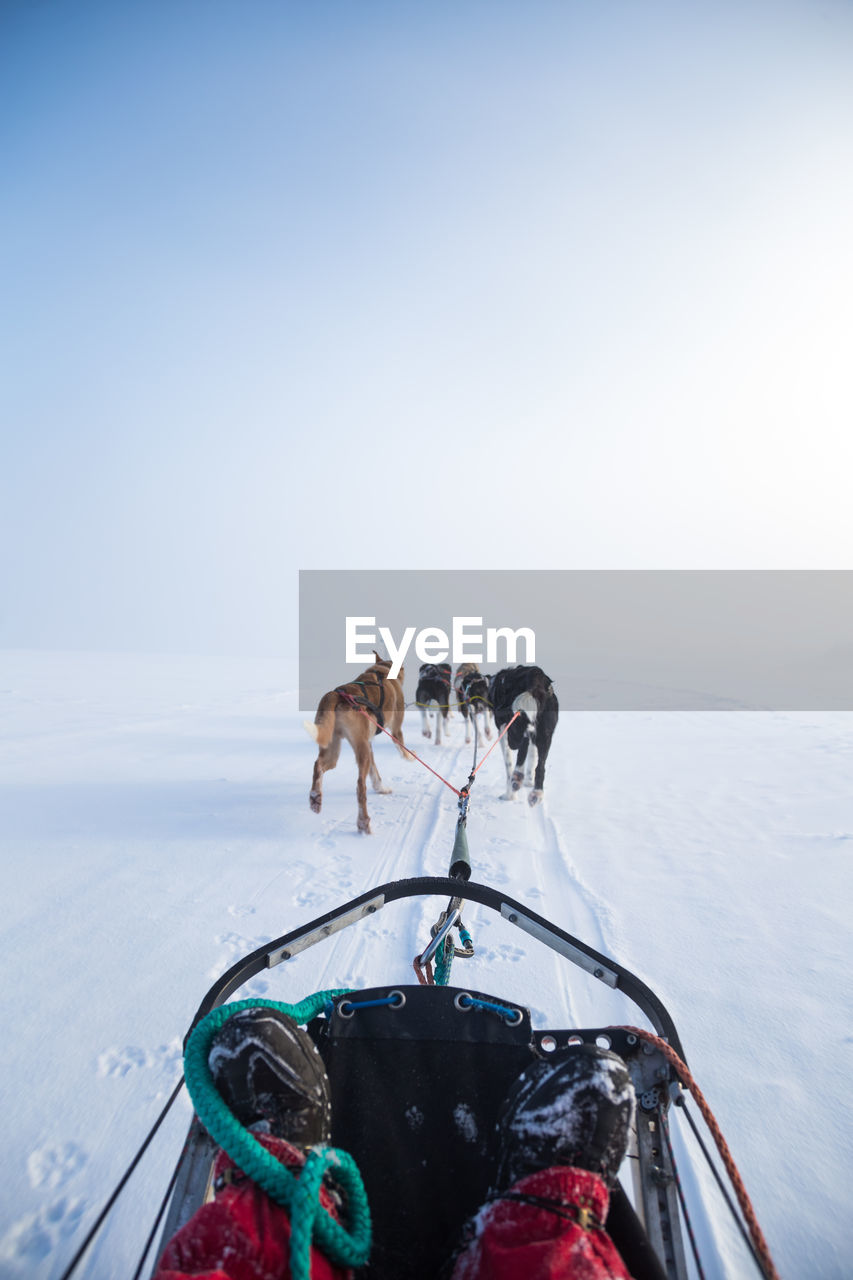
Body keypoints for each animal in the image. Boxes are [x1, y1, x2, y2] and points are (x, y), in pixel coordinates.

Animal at [303, 655, 409, 834]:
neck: (382, 671)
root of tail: (337, 695)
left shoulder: (369, 743)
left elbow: (375, 773)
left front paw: (381, 788)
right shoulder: (395, 730)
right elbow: (402, 749)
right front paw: (410, 757)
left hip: (334, 748)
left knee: (318, 765)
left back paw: (315, 798)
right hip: (361, 750)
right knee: (360, 787)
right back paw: (363, 823)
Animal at [489, 665, 555, 803]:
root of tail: (536, 676)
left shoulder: (503, 732)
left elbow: (508, 764)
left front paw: (509, 795)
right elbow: (533, 756)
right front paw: (529, 781)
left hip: (516, 728)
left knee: (522, 748)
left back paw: (517, 777)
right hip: (545, 735)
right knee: (540, 766)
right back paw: (536, 792)